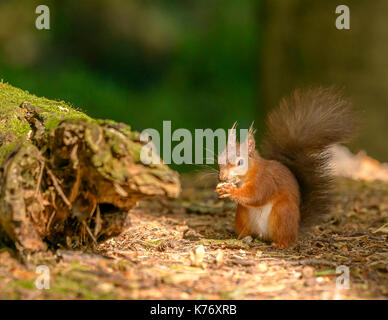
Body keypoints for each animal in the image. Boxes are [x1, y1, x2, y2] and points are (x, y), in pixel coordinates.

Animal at [217, 89, 356, 249]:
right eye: (219, 159)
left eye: (240, 162)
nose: (222, 177)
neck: (249, 175)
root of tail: (295, 229)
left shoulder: (266, 180)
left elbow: (256, 195)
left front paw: (230, 190)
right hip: (242, 214)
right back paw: (243, 237)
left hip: (282, 213)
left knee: (285, 237)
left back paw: (280, 244)